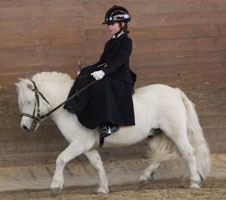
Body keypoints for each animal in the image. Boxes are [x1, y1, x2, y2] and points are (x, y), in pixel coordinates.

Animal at [15, 72, 210, 195]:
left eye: (29, 101)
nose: (24, 126)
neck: (70, 105)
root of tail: (175, 92)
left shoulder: (79, 144)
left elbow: (61, 159)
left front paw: (55, 186)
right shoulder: (88, 147)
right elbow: (97, 165)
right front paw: (103, 188)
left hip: (175, 131)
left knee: (188, 152)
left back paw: (194, 182)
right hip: (156, 133)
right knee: (158, 155)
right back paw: (145, 177)